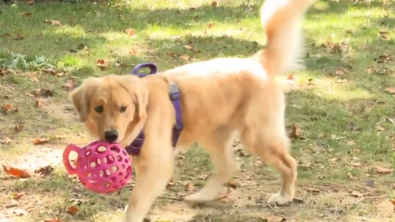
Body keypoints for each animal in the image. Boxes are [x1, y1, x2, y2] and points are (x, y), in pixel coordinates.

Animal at [69, 0, 318, 221]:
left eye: (123, 108)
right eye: (99, 108)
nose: (111, 136)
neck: (143, 118)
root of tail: (255, 62)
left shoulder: (156, 167)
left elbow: (136, 203)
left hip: (258, 136)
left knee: (289, 163)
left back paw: (285, 196)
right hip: (213, 134)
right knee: (228, 166)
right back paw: (202, 196)